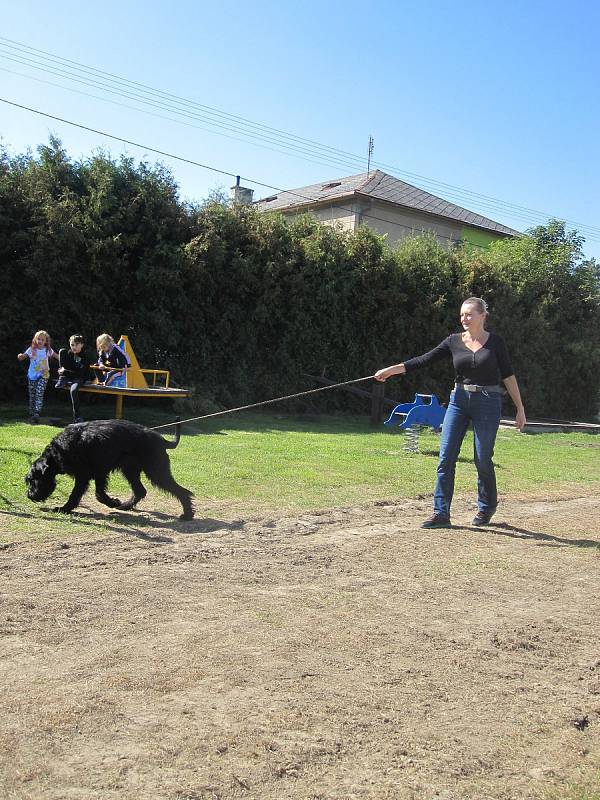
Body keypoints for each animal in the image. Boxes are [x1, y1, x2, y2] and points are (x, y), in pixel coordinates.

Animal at [25, 416, 193, 520]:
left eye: (33, 479)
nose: (30, 495)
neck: (58, 451)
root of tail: (162, 440)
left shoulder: (84, 475)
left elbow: (77, 495)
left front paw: (64, 509)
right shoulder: (100, 472)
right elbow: (99, 493)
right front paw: (114, 502)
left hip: (156, 472)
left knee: (183, 492)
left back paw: (187, 515)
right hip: (130, 470)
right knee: (140, 490)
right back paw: (125, 506)